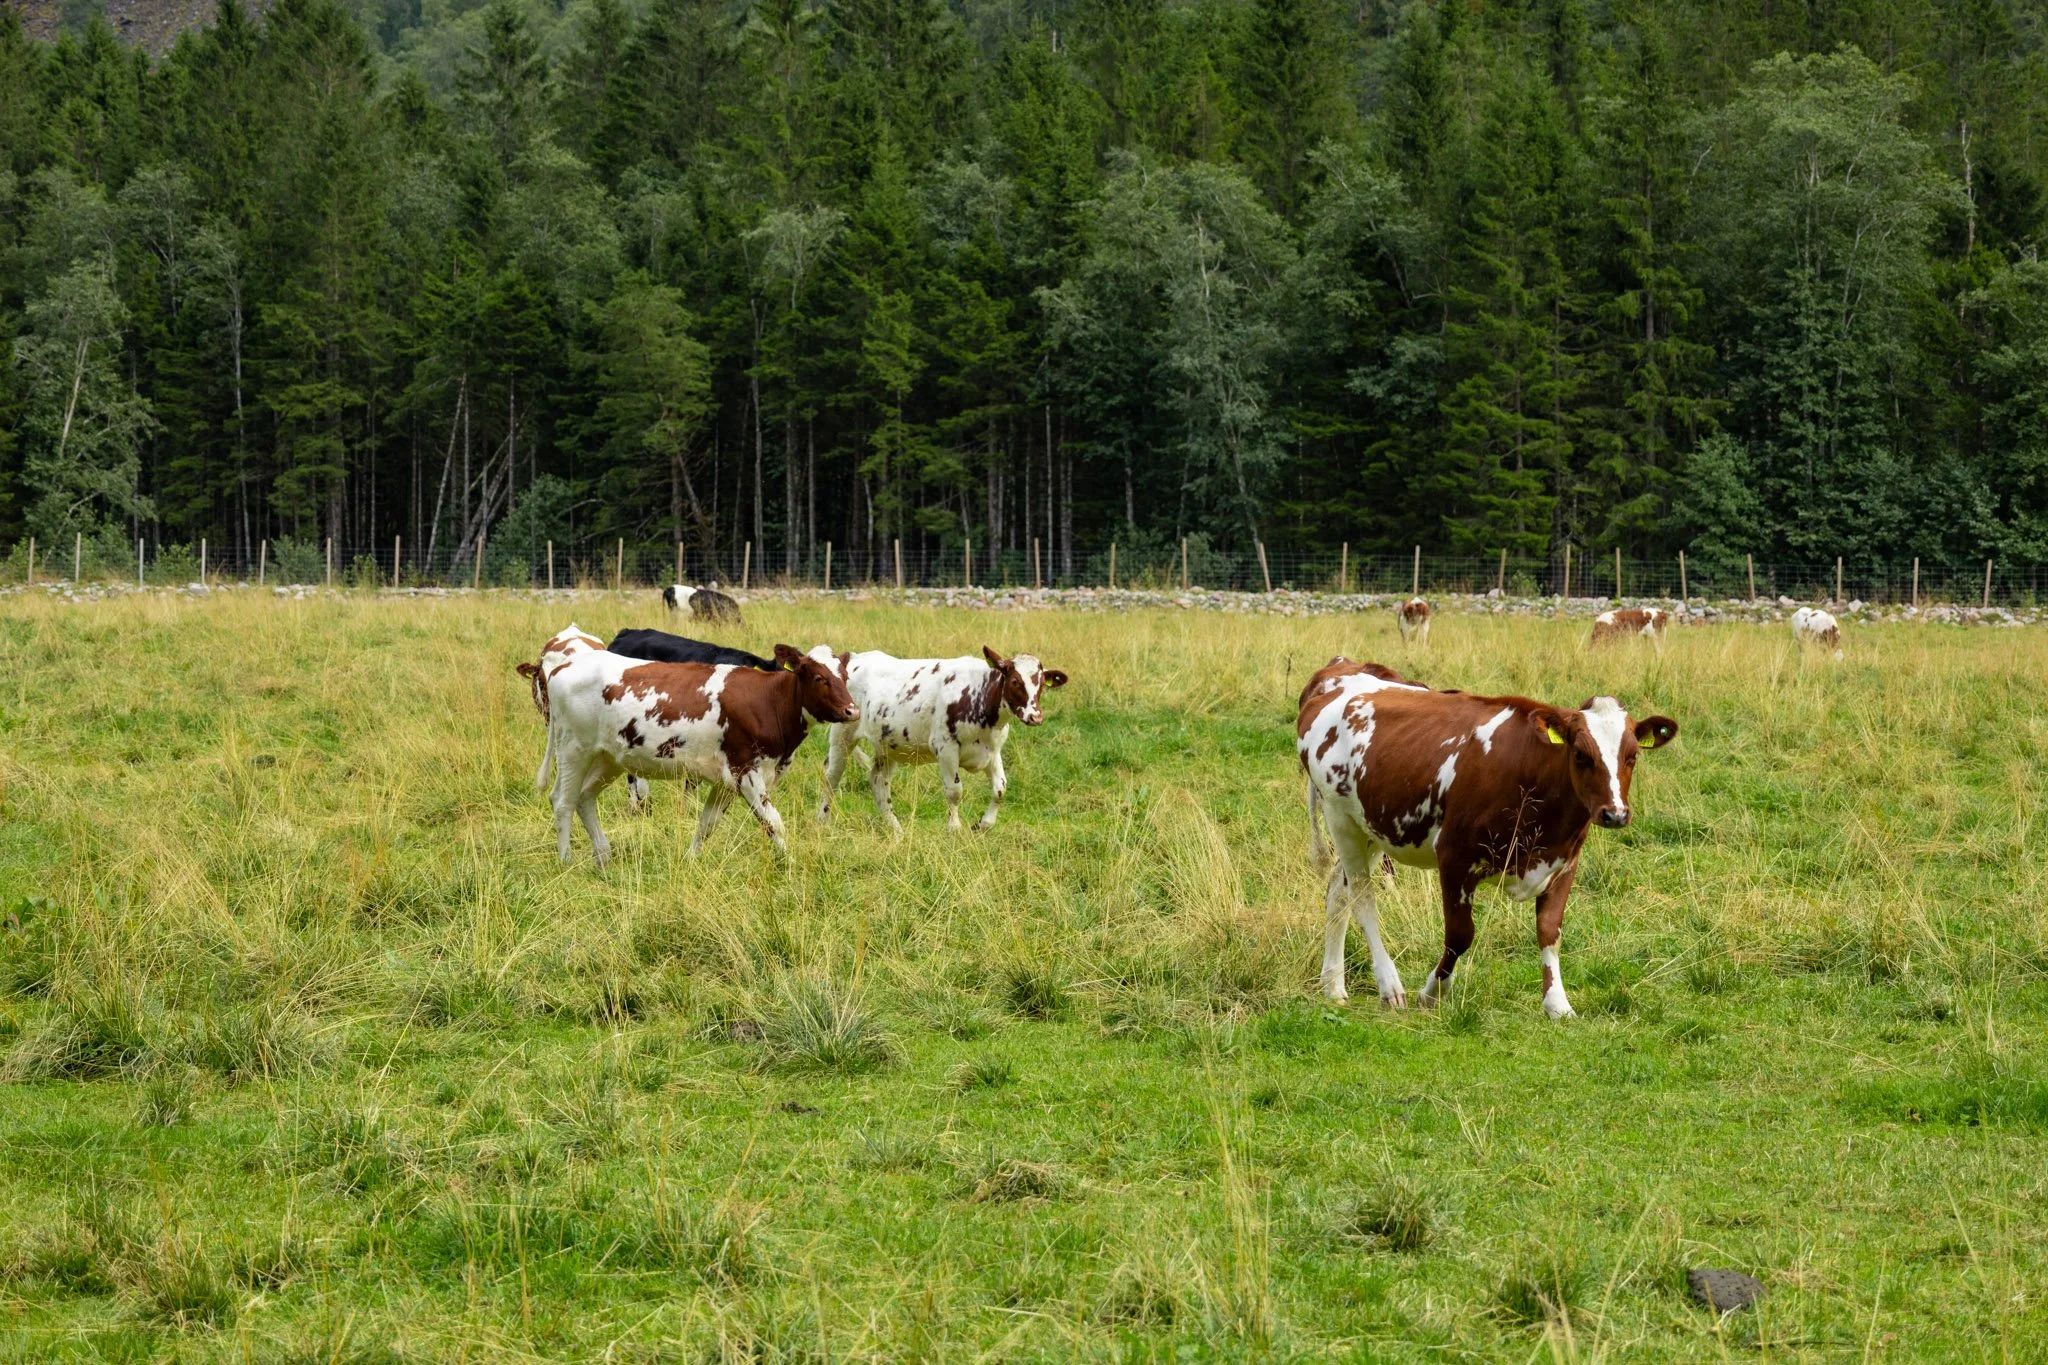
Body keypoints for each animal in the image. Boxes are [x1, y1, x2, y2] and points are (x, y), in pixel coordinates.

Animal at [534, 642, 857, 863]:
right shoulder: (745, 770)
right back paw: (566, 861)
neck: (768, 701)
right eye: (818, 677)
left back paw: (603, 856)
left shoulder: (726, 781)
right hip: (574, 749)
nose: (851, 710)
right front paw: (790, 865)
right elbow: (773, 822)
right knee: (562, 801)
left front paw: (691, 860)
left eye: (844, 677)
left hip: (608, 758)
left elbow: (707, 824)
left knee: (584, 798)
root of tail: (565, 666)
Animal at [813, 645, 1067, 833]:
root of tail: (855, 658)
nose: (1035, 716)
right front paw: (954, 829)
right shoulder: (945, 748)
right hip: (842, 735)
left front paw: (983, 825)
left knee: (878, 781)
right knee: (831, 776)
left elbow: (1000, 789)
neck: (979, 696)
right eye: (1015, 681)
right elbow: (955, 791)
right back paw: (822, 822)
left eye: (1041, 685)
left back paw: (896, 831)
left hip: (888, 744)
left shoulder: (992, 752)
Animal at [1298, 680, 1677, 1018]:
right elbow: (1460, 935)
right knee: (1362, 898)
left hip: (1372, 828)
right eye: (1581, 755)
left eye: (1632, 756)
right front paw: (1433, 993)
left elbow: (1549, 931)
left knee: (1338, 891)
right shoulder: (1455, 857)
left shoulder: (1564, 862)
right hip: (1341, 818)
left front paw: (1557, 1004)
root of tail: (1335, 683)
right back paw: (1389, 986)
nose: (1615, 814)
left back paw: (1333, 985)